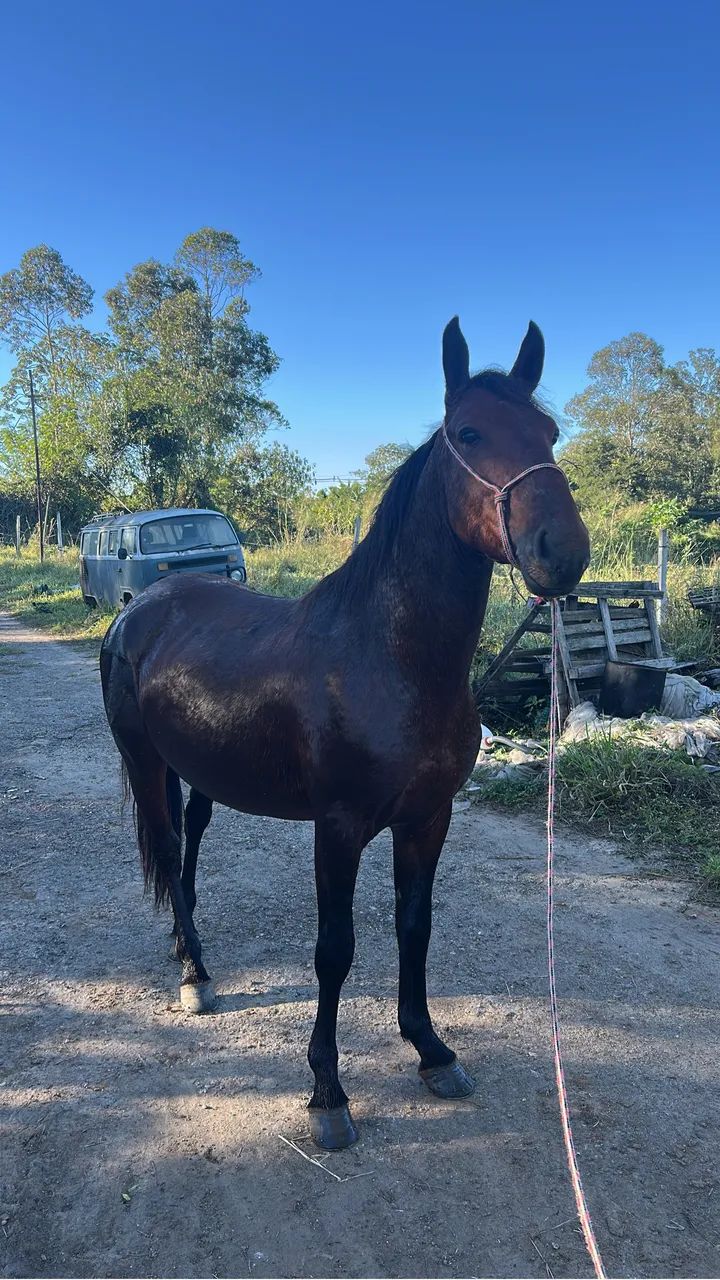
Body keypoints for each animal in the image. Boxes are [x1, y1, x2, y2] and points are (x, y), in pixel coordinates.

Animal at [100, 316, 590, 1150]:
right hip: (140, 758)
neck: (389, 658)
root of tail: (138, 609)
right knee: (164, 845)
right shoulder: (338, 827)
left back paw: (184, 944)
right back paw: (196, 975)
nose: (564, 551)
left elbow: (414, 928)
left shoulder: (427, 818)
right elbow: (335, 951)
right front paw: (328, 1091)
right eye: (469, 431)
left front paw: (431, 1050)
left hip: (193, 765)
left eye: (549, 433)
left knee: (189, 839)